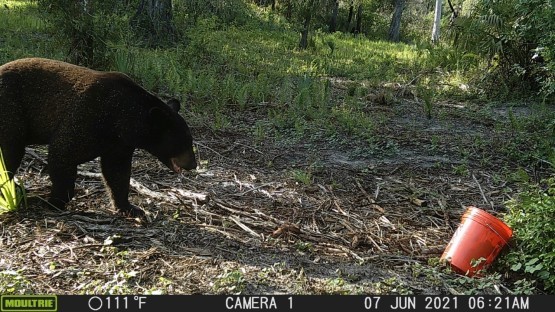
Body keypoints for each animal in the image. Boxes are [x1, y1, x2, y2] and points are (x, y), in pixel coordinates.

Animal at [0, 56, 197, 217]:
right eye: (184, 142)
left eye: (189, 142)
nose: (193, 164)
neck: (122, 119)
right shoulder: (89, 115)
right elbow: (63, 151)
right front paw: (54, 201)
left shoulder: (119, 143)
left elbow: (116, 171)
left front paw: (130, 208)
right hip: (11, 109)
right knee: (10, 151)